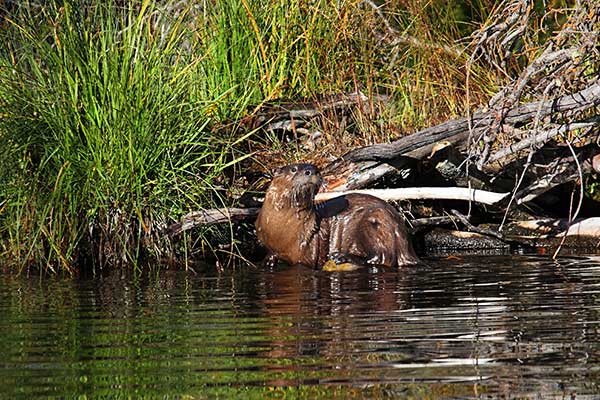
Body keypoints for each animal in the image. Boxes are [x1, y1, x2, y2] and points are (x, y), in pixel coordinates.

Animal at [255, 162, 420, 268]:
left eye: (316, 169)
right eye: (294, 169)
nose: (311, 170)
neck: (280, 228)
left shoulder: (307, 249)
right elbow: (270, 254)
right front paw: (267, 261)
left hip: (375, 221)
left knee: (382, 258)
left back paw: (342, 256)